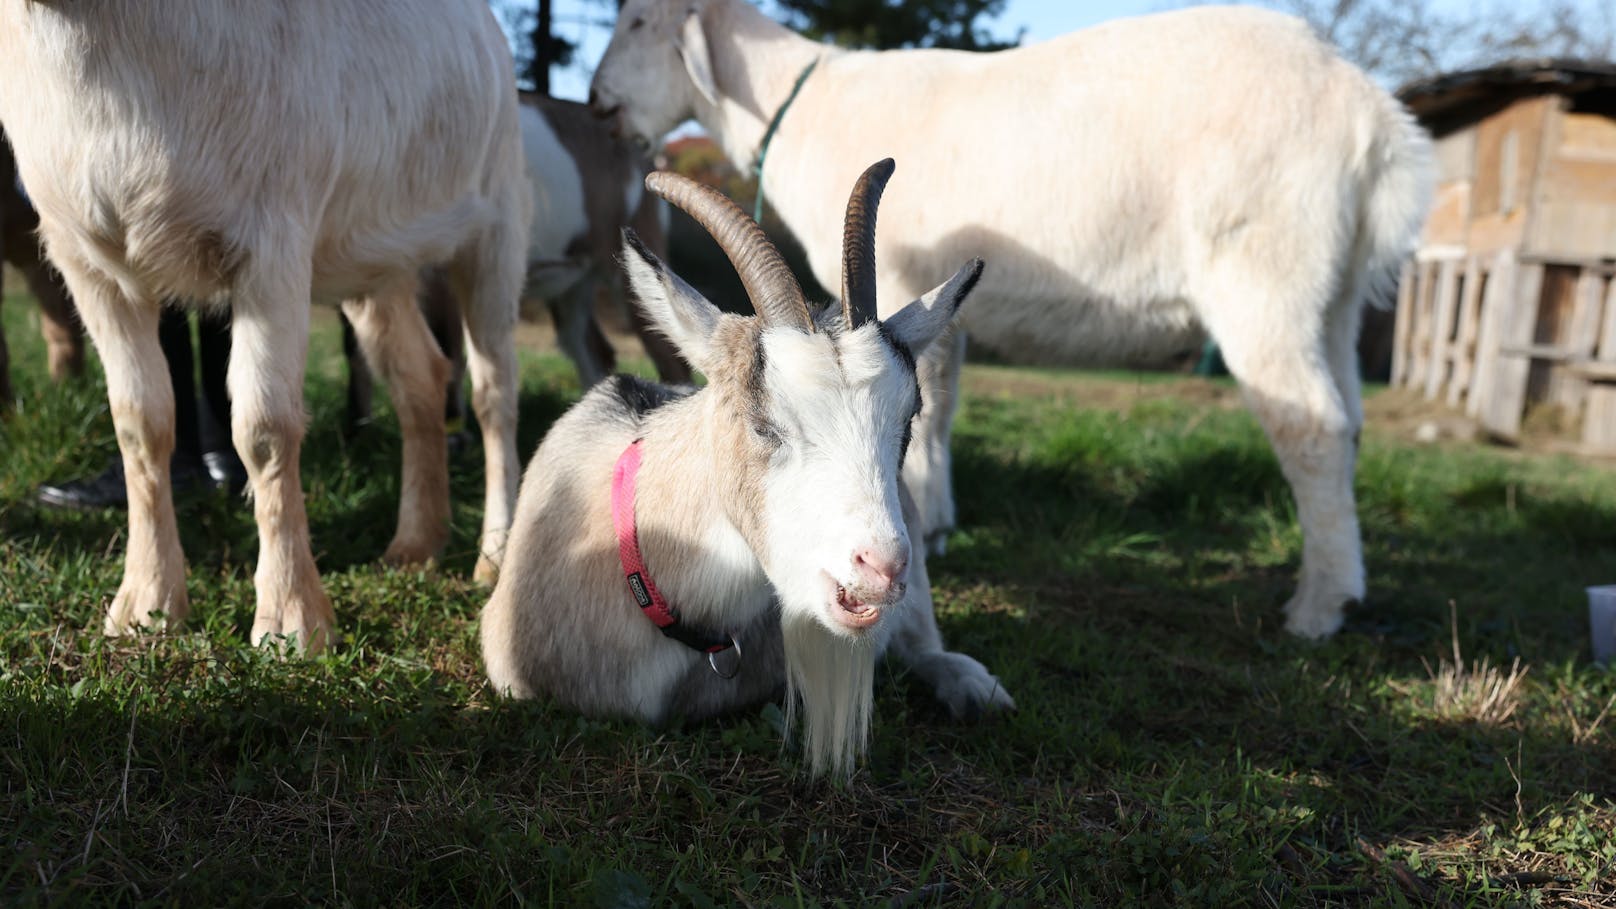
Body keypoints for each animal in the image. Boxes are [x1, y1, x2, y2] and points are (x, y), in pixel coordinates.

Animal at [0, 1, 530, 650]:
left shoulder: (273, 242)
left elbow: (263, 428)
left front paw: (291, 621)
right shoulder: (88, 265)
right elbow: (137, 425)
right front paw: (145, 606)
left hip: (497, 221)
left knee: (493, 394)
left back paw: (495, 556)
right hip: (371, 256)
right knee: (420, 379)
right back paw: (414, 545)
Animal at [591, 0, 1428, 637]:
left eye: (636, 20)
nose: (598, 103)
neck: (804, 107)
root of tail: (1373, 119)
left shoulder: (906, 276)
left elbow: (928, 409)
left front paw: (924, 522)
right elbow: (945, 406)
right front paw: (937, 519)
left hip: (1266, 273)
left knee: (1312, 426)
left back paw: (1316, 609)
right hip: (1332, 295)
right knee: (1349, 421)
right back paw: (1344, 580)